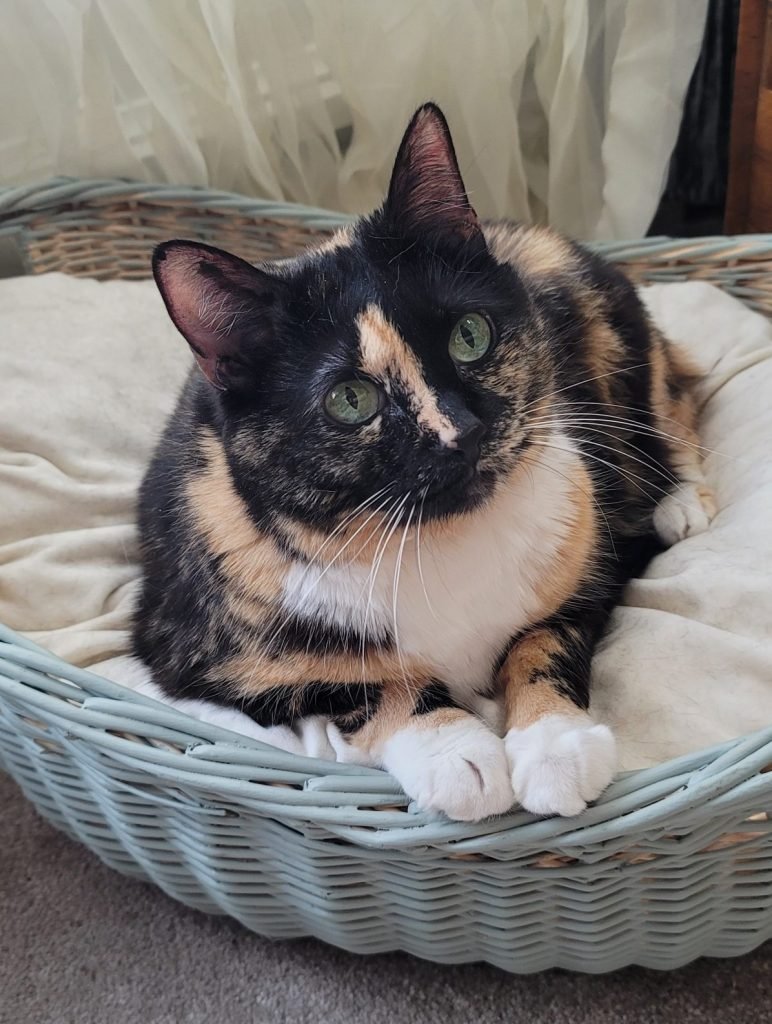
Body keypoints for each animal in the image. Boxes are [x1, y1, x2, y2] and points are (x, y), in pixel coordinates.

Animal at [134, 103, 716, 823]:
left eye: (471, 335)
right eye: (349, 399)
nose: (460, 432)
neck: (443, 541)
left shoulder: (597, 557)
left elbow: (544, 639)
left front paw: (556, 746)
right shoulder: (201, 654)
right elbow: (372, 681)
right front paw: (456, 754)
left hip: (618, 343)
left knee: (678, 396)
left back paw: (683, 501)